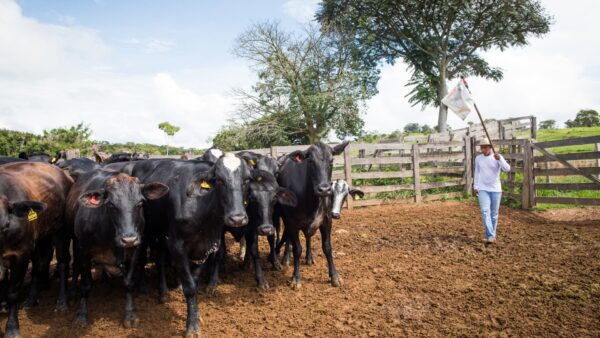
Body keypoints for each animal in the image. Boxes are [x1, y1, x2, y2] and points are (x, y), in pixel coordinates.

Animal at [0, 161, 72, 338]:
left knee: (62, 263)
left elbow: (13, 292)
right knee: (41, 263)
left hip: (60, 231)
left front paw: (12, 328)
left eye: (6, 224)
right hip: (43, 235)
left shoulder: (21, 253)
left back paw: (61, 302)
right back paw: (31, 299)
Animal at [66, 170, 169, 326]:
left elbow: (128, 283)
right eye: (110, 205)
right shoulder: (83, 250)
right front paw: (81, 315)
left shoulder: (135, 250)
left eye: (140, 203)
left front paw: (130, 314)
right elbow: (86, 284)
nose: (129, 239)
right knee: (76, 265)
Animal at [132, 154, 252, 338]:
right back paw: (163, 293)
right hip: (151, 232)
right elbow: (189, 287)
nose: (237, 218)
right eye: (219, 180)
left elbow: (194, 282)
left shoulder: (206, 247)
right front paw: (191, 327)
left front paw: (196, 315)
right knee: (158, 260)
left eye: (246, 180)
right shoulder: (177, 245)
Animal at [276, 141, 346, 290]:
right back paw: (286, 258)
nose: (324, 189)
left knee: (308, 237)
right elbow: (297, 249)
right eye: (311, 161)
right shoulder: (291, 221)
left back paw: (309, 257)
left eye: (331, 161)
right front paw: (296, 278)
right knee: (287, 237)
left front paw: (335, 276)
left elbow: (327, 247)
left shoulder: (327, 220)